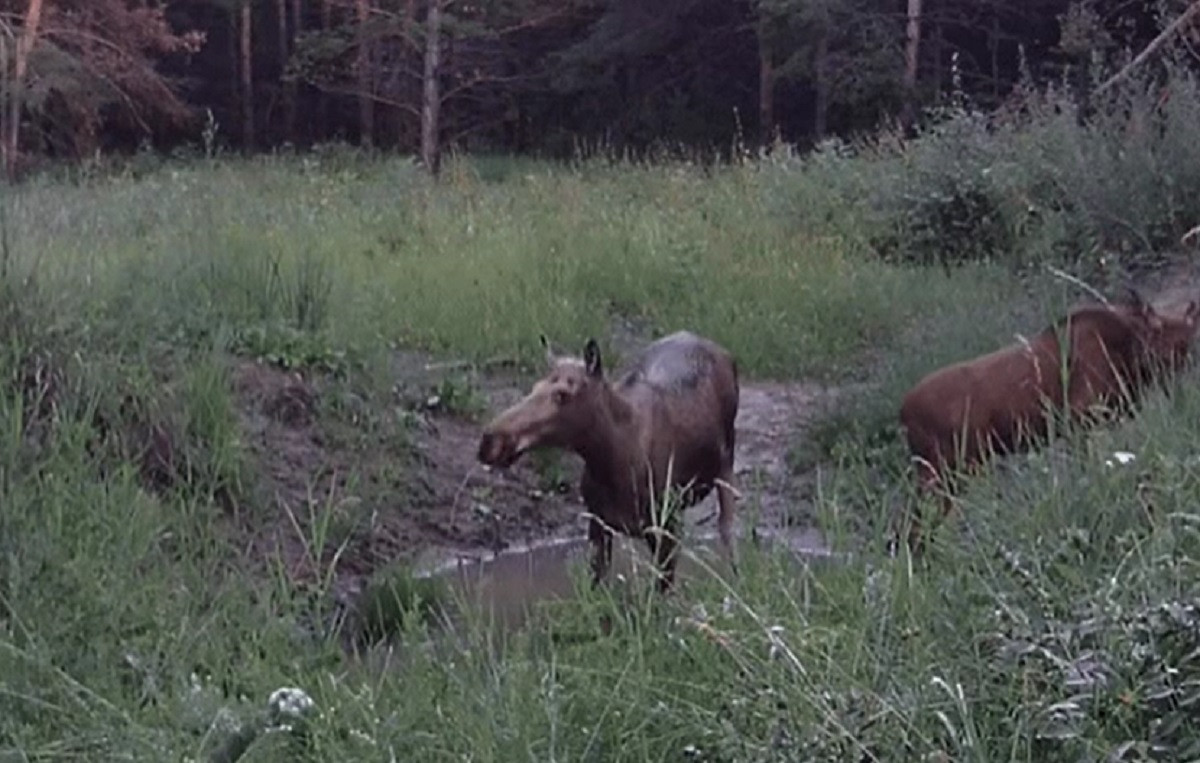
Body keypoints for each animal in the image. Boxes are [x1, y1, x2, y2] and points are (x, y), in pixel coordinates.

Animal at [477, 331, 739, 592]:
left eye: (562, 394)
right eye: (535, 387)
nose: (489, 440)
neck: (611, 464)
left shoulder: (668, 525)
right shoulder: (598, 524)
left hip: (726, 463)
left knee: (728, 529)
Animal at [897, 285, 1195, 554]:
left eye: (1190, 339)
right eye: (1166, 339)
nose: (1187, 367)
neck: (1126, 347)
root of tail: (903, 413)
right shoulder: (1080, 417)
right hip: (943, 470)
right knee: (915, 527)